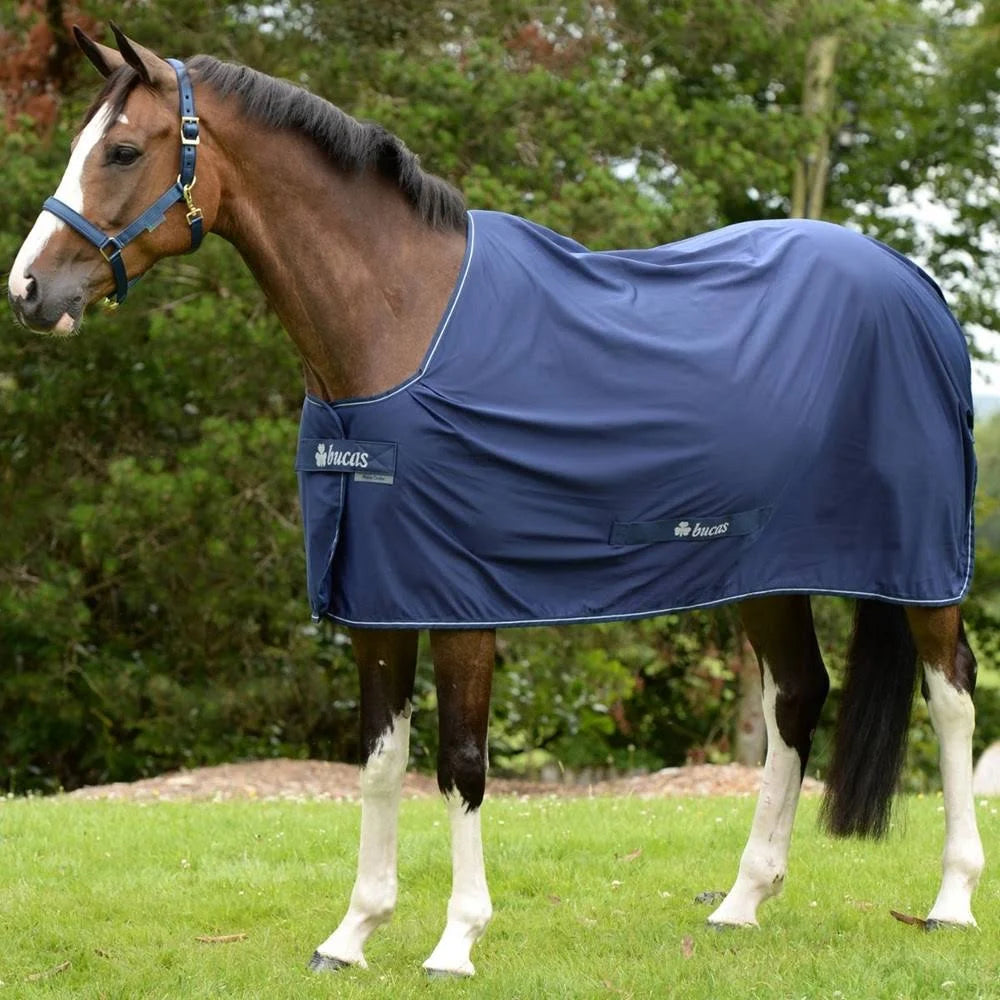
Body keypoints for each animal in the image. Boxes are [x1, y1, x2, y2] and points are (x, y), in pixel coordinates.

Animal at [7, 25, 984, 978]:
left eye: (123, 150)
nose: (27, 291)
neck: (399, 325)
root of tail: (915, 285)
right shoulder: (376, 599)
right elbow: (380, 762)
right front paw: (352, 934)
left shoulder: (461, 601)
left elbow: (462, 765)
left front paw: (455, 941)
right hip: (763, 569)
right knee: (797, 697)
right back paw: (743, 901)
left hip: (923, 566)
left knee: (952, 694)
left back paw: (951, 899)